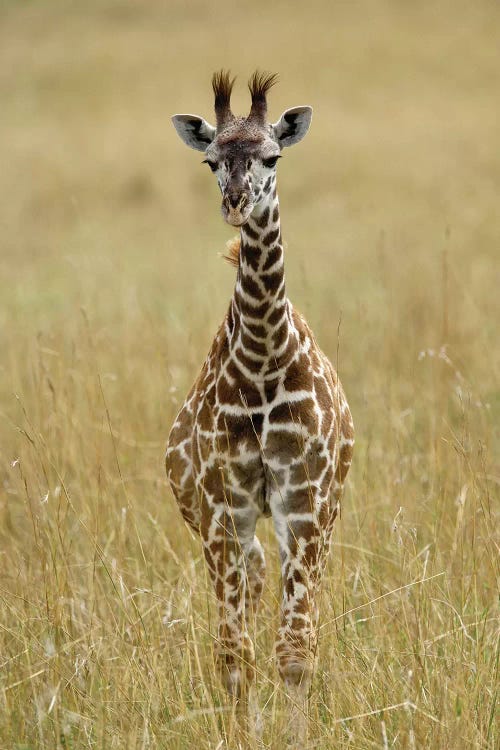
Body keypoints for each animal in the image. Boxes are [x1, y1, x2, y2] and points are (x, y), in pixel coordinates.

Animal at [166, 70, 354, 748]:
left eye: (272, 156)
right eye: (210, 161)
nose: (235, 203)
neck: (265, 358)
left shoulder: (303, 499)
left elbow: (295, 650)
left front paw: (295, 734)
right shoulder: (225, 503)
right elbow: (233, 653)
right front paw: (240, 733)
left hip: (313, 519)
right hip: (226, 527)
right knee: (246, 597)